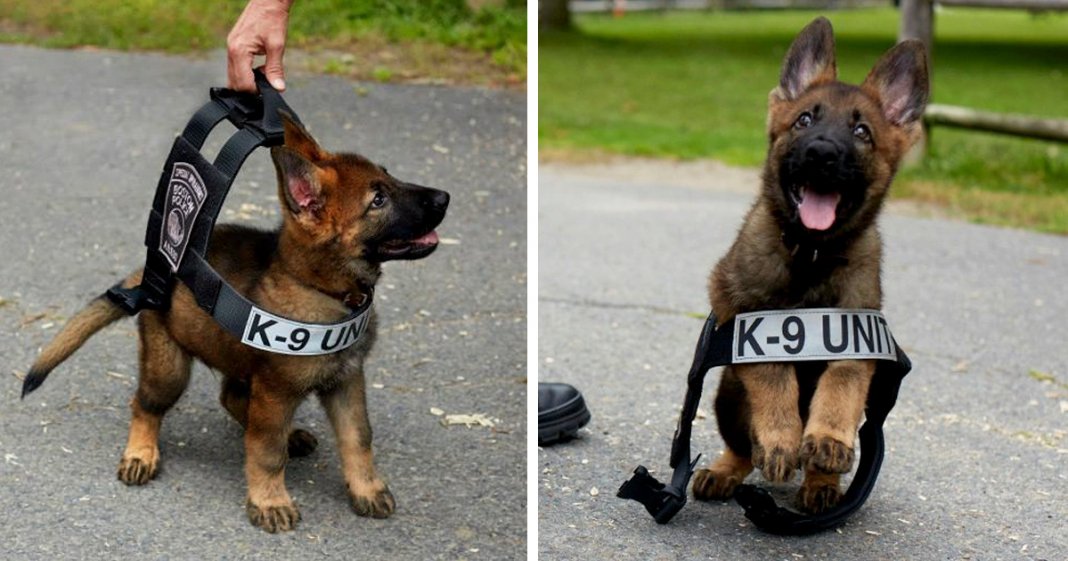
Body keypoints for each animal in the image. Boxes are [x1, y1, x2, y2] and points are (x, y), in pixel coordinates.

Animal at [24, 111, 450, 532]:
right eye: (378, 200)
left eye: (389, 177)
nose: (445, 197)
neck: (321, 289)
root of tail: (149, 273)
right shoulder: (276, 392)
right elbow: (266, 451)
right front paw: (270, 500)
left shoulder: (346, 380)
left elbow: (358, 437)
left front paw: (366, 488)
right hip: (169, 367)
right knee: (146, 403)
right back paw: (141, 453)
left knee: (231, 398)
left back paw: (289, 434)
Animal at [692, 18, 927, 510]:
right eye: (804, 120)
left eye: (862, 132)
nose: (821, 153)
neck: (811, 255)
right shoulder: (747, 318)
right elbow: (774, 375)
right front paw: (781, 439)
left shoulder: (857, 331)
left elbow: (841, 383)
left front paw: (827, 440)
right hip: (728, 393)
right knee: (742, 449)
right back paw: (727, 469)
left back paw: (821, 481)